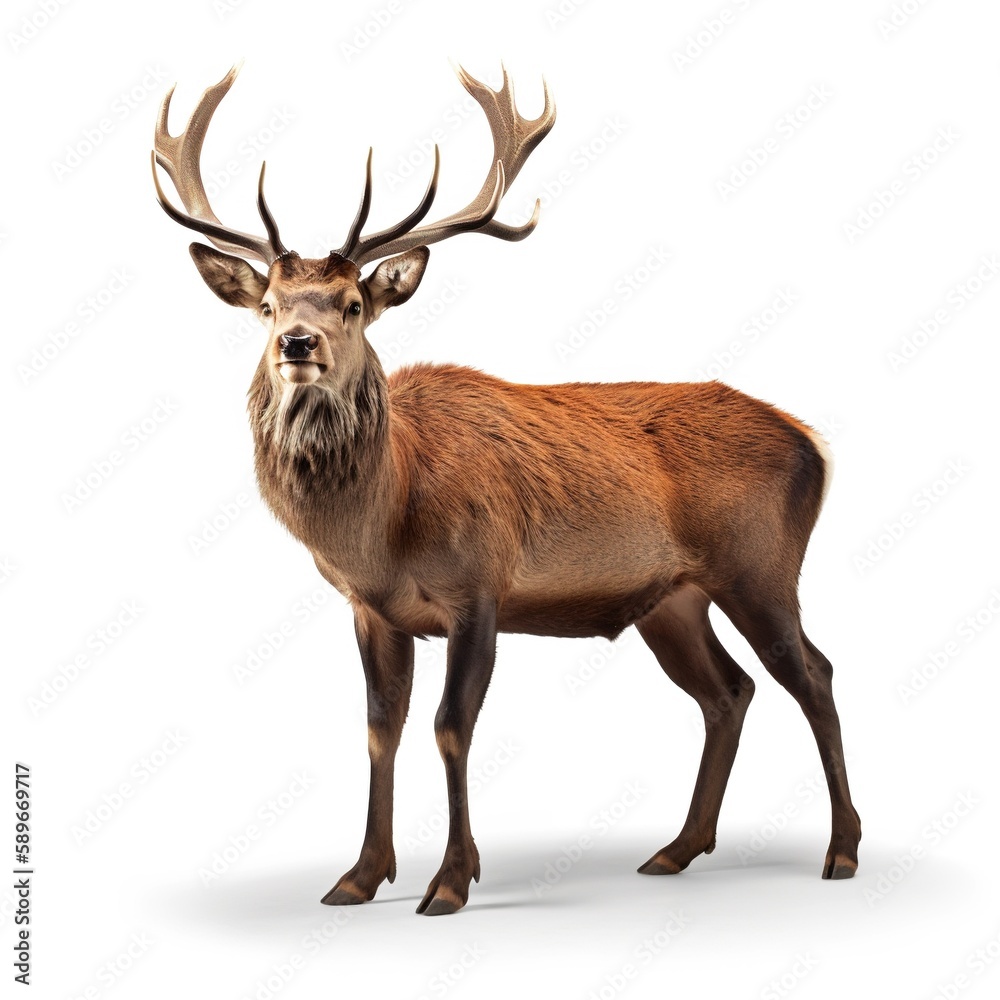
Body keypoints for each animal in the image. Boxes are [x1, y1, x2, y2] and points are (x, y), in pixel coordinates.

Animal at [151, 64, 861, 916]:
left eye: (354, 305)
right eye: (265, 305)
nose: (297, 344)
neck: (383, 524)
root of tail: (815, 444)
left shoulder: (479, 586)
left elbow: (451, 727)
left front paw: (450, 881)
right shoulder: (370, 609)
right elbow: (380, 729)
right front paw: (359, 875)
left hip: (760, 566)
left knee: (814, 674)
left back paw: (842, 850)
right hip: (673, 598)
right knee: (729, 691)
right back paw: (677, 849)